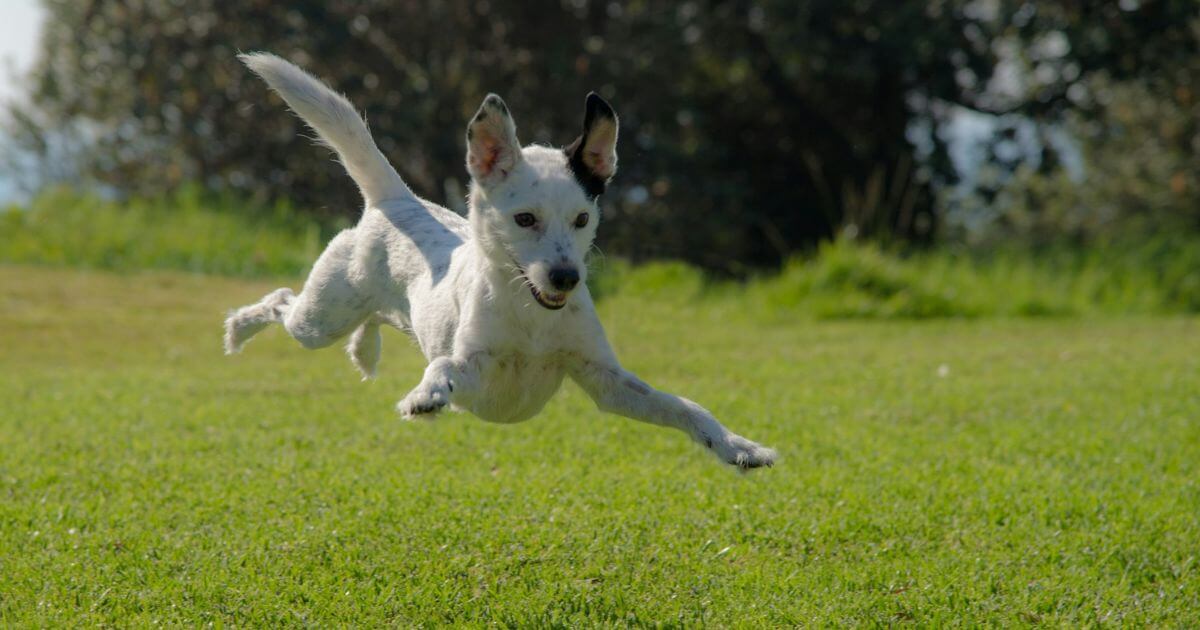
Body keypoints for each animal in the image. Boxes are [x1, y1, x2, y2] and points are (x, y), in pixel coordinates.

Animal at [224, 52, 777, 465]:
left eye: (582, 219)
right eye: (525, 219)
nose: (566, 277)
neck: (531, 316)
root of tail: (397, 200)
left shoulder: (606, 381)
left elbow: (686, 407)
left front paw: (737, 447)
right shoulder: (475, 367)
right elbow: (444, 366)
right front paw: (426, 395)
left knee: (373, 319)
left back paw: (364, 350)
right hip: (320, 318)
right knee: (281, 301)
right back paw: (239, 330)